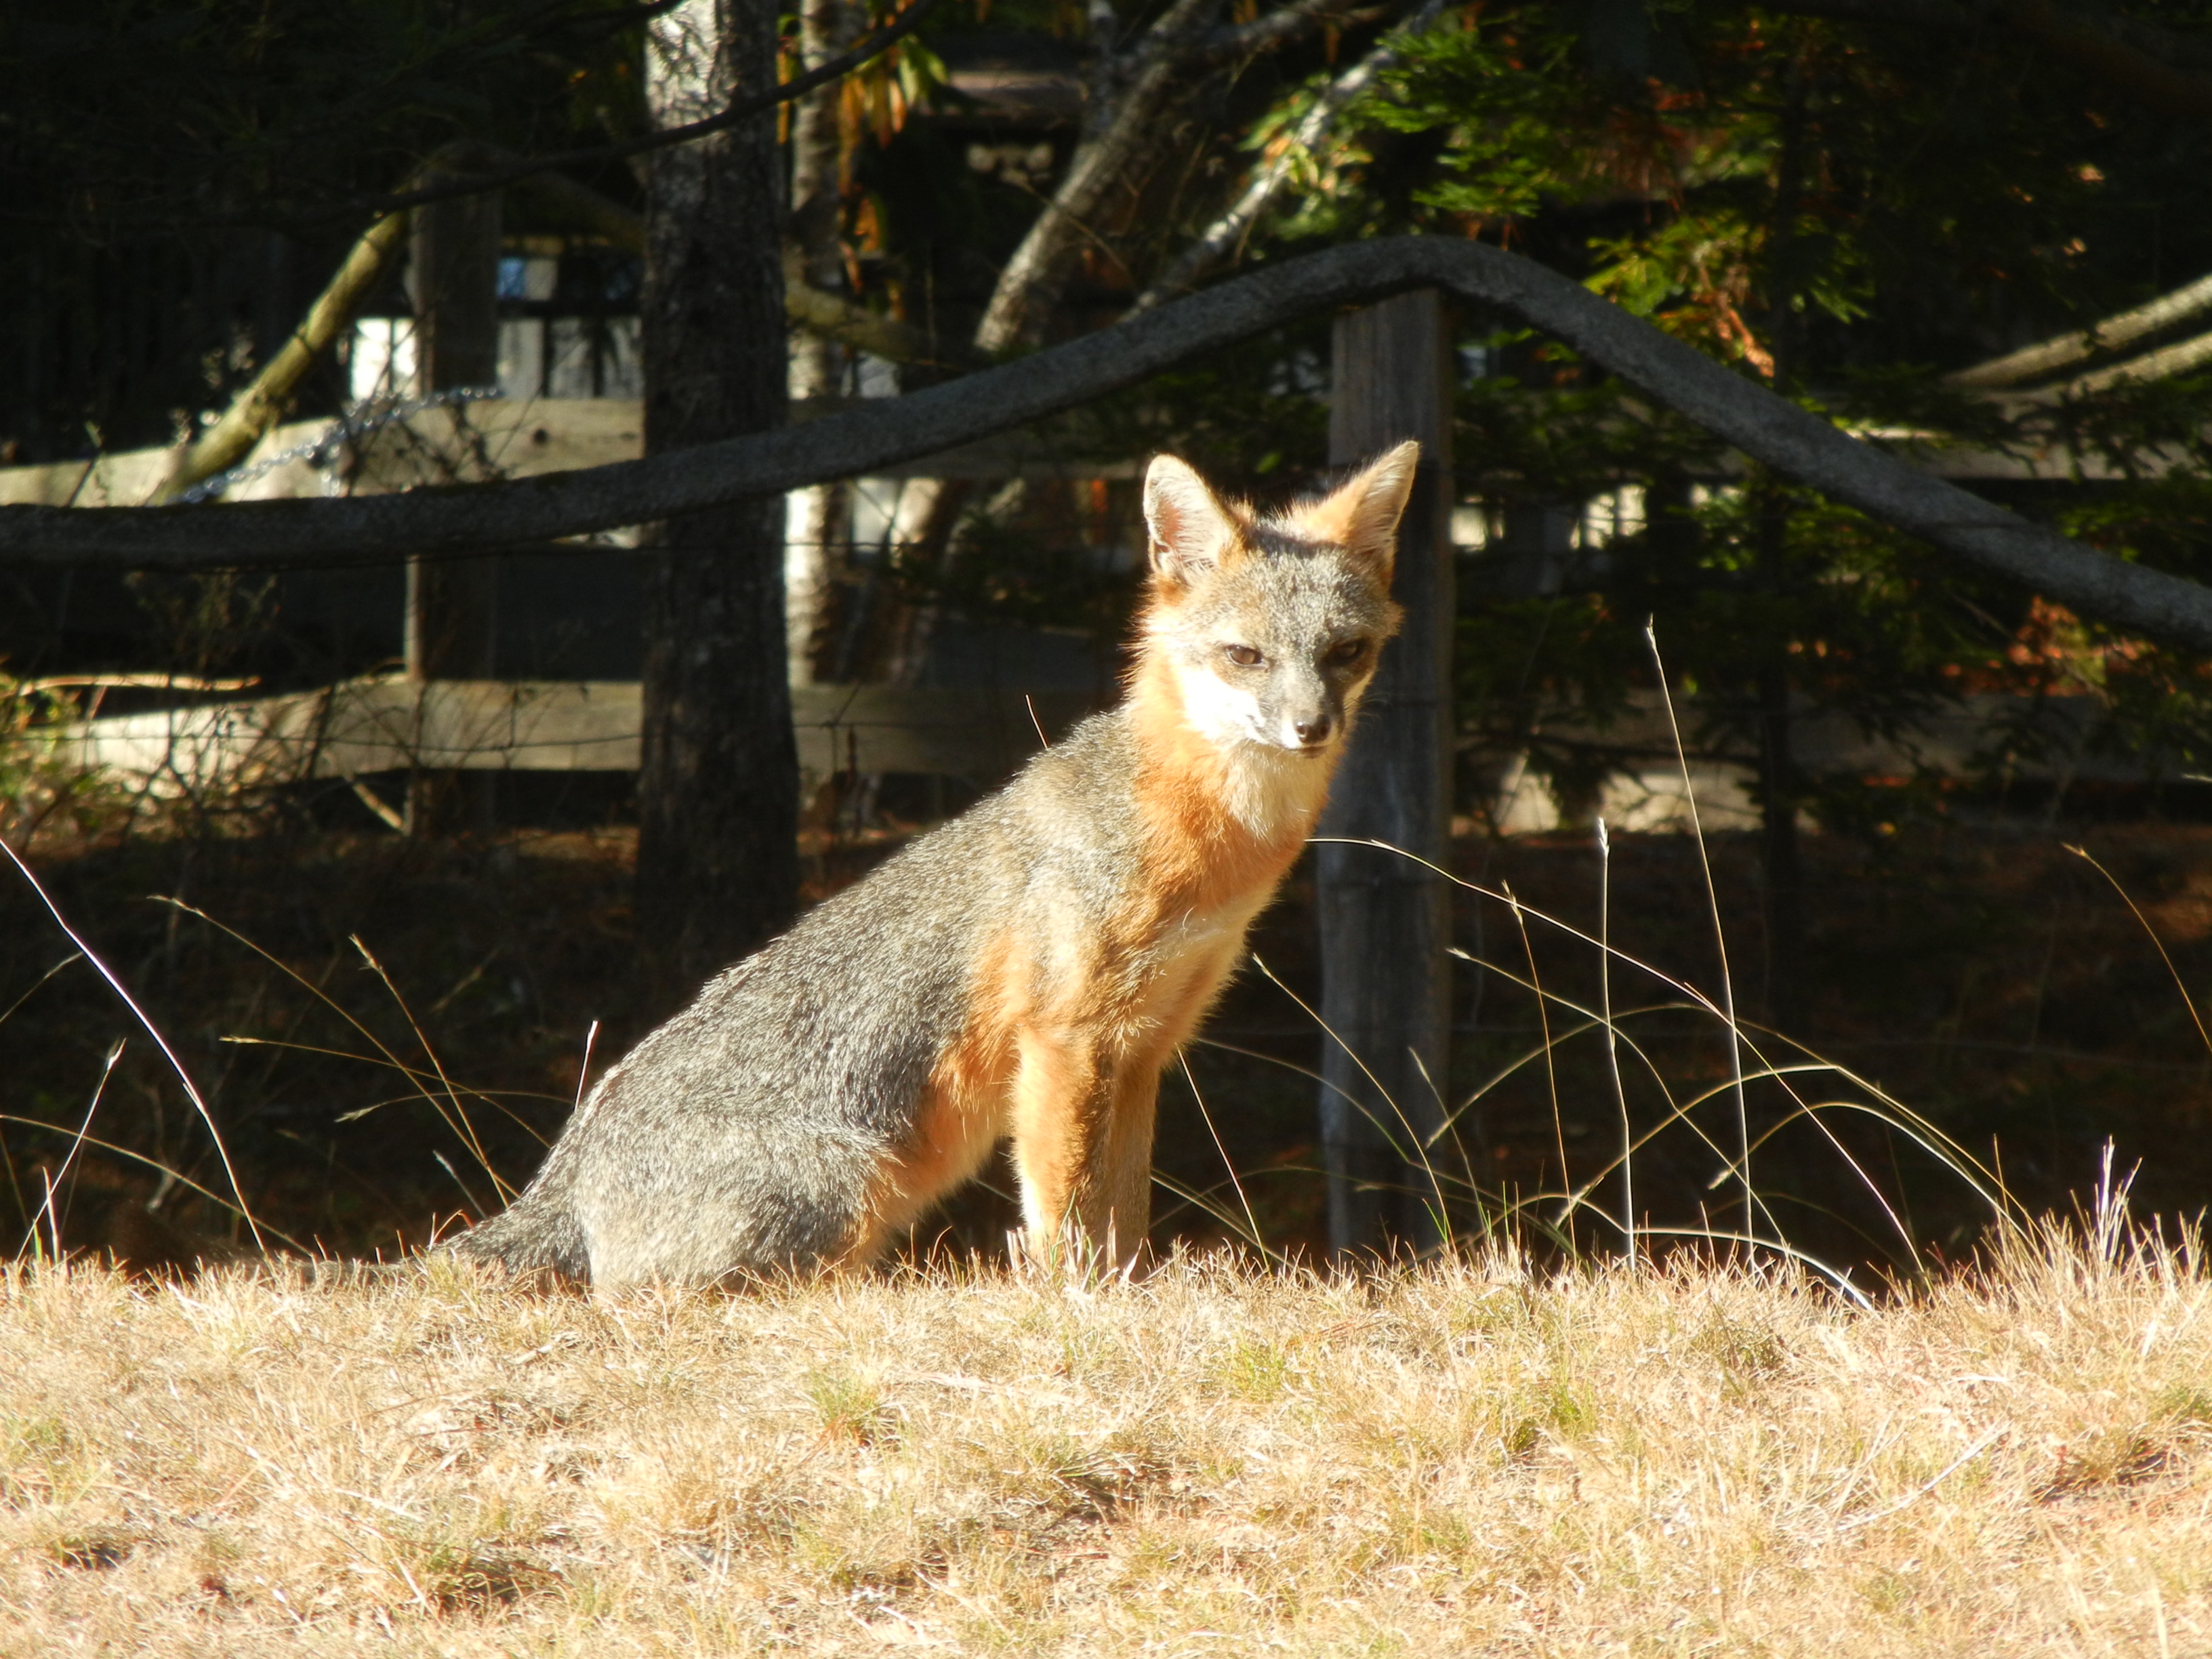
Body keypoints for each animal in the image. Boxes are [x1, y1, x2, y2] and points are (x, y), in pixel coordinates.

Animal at [455, 442, 1415, 1283]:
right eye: (1245, 656)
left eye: (1346, 653)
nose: (1311, 727)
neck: (1206, 849)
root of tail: (561, 1180)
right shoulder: (1067, 1040)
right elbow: (1066, 1214)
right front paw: (1073, 1305)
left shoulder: (1144, 1046)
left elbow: (1123, 1216)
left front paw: (1128, 1294)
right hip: (851, 1188)